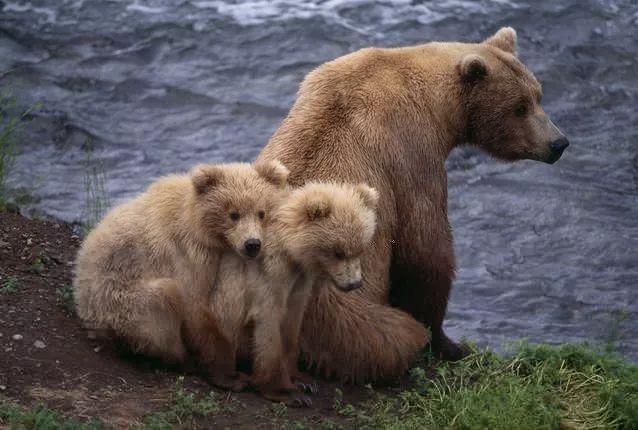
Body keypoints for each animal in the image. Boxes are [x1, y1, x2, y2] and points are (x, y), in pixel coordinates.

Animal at [258, 27, 572, 382]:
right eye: (519, 107)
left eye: (538, 96)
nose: (558, 143)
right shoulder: (410, 154)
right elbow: (425, 250)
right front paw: (451, 344)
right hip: (343, 317)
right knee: (390, 335)